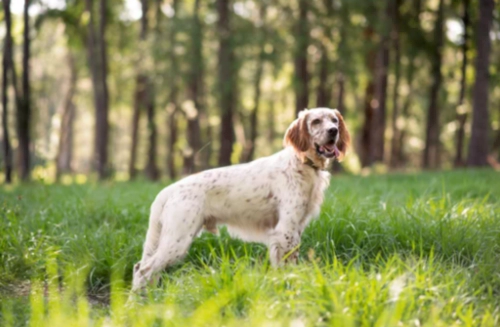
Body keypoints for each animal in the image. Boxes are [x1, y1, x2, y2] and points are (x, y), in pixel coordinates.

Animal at [133, 107, 352, 292]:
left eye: (334, 120)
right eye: (316, 121)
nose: (333, 131)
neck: (301, 164)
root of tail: (170, 189)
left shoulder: (295, 228)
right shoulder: (286, 230)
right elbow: (287, 266)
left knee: (142, 268)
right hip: (177, 240)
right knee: (144, 269)